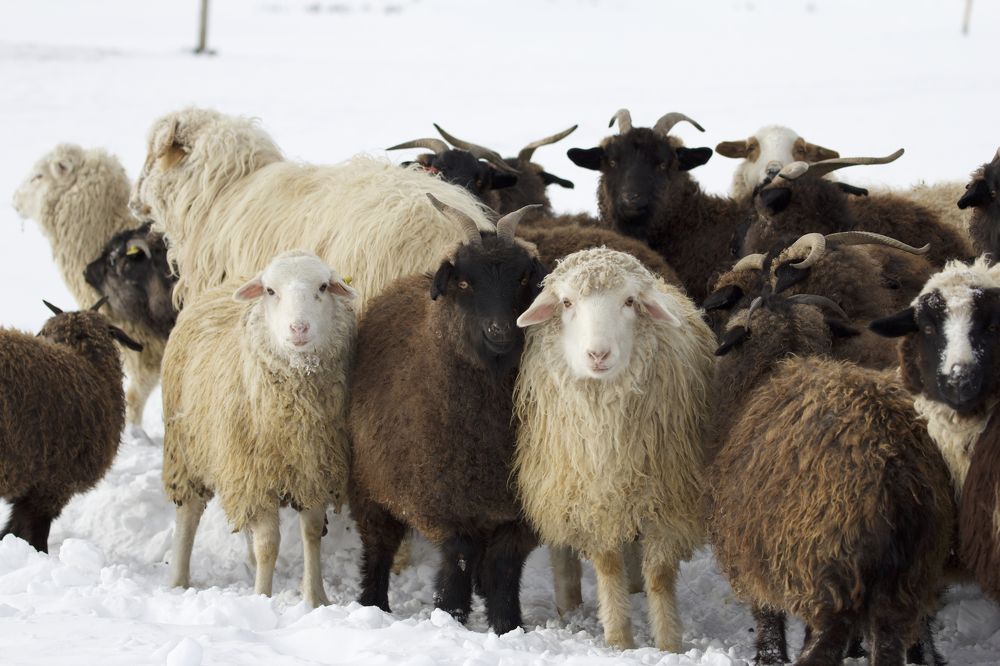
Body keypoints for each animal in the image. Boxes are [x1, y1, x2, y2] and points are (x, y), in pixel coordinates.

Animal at [161, 250, 356, 607]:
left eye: (323, 286)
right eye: (270, 291)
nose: (298, 328)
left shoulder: (314, 470)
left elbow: (311, 534)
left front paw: (316, 598)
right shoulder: (255, 476)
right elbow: (269, 544)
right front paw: (262, 599)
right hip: (186, 450)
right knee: (189, 514)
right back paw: (179, 580)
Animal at [349, 197, 546, 635]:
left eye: (523, 278)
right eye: (464, 282)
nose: (500, 331)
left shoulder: (518, 512)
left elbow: (504, 566)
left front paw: (507, 626)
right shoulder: (442, 500)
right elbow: (458, 557)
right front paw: (450, 617)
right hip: (370, 485)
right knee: (378, 546)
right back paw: (373, 604)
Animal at [513, 248, 715, 651]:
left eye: (630, 301)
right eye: (566, 302)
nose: (598, 354)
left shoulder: (668, 500)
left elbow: (660, 574)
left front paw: (668, 645)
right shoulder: (592, 498)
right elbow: (607, 566)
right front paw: (620, 640)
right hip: (559, 480)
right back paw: (569, 604)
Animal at [710, 294, 956, 666]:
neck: (784, 357)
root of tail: (895, 470)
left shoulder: (748, 552)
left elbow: (766, 615)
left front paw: (770, 656)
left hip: (831, 570)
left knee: (826, 641)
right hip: (907, 575)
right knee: (892, 638)